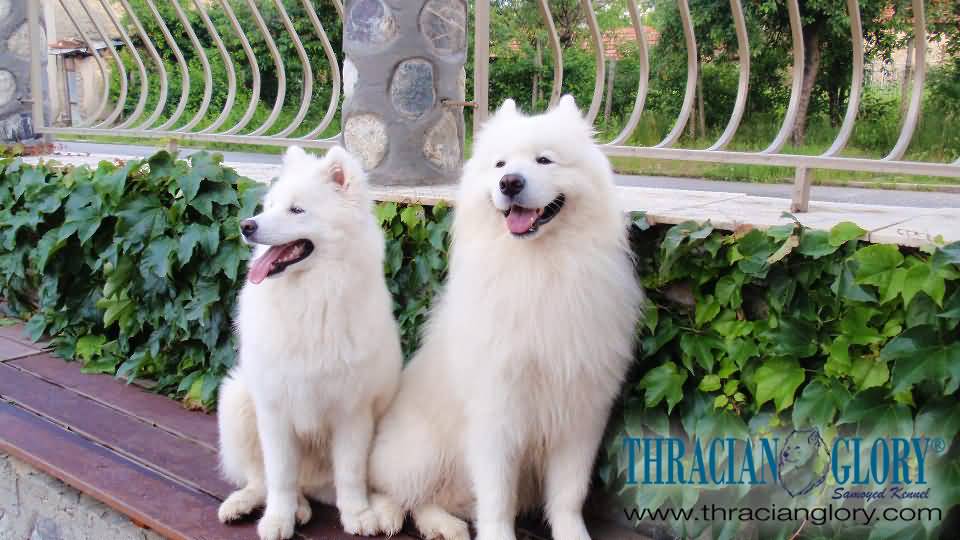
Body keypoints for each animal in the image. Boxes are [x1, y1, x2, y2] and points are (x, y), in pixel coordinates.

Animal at [217, 146, 402, 536]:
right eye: (269, 206)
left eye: (297, 210)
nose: (247, 226)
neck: (312, 297)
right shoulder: (274, 409)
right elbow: (280, 476)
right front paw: (278, 519)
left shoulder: (352, 411)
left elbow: (349, 472)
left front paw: (358, 515)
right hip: (237, 398)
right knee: (261, 478)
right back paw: (252, 505)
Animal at [368, 97, 644, 540]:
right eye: (500, 164)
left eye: (544, 160)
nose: (510, 183)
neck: (538, 269)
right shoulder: (497, 411)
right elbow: (497, 499)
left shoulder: (581, 413)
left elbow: (568, 494)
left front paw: (572, 534)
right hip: (421, 450)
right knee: (396, 490)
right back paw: (391, 517)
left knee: (430, 501)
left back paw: (444, 525)